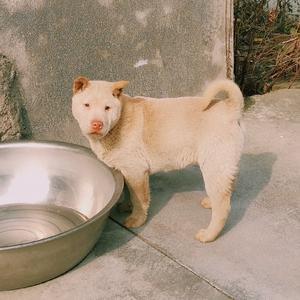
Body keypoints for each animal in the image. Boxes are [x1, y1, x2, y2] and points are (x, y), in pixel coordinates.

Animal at [72, 77, 244, 241]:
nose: (97, 124)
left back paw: (209, 234)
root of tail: (231, 107)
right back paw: (212, 202)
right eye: (86, 105)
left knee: (223, 206)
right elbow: (128, 191)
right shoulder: (127, 171)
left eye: (107, 108)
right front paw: (127, 205)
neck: (118, 123)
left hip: (214, 164)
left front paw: (136, 219)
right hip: (223, 164)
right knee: (229, 186)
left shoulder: (136, 171)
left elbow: (139, 198)